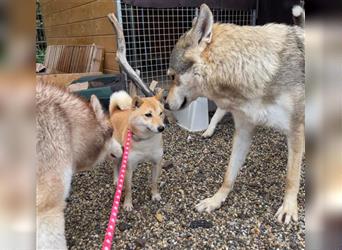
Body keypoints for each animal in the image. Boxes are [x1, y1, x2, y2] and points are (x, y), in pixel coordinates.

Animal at [166, 3, 304, 223]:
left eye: (172, 76)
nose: (165, 104)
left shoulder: (296, 130)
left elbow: (292, 178)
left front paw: (289, 208)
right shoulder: (243, 132)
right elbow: (228, 175)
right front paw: (215, 200)